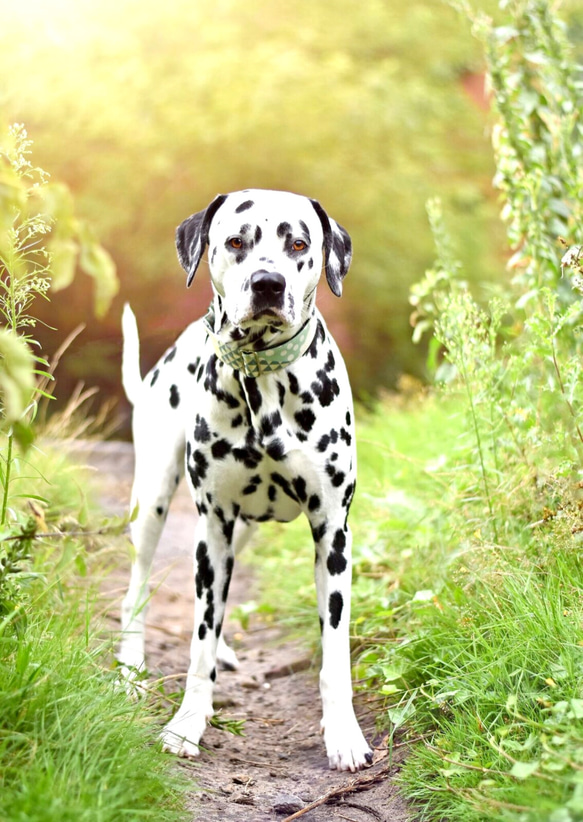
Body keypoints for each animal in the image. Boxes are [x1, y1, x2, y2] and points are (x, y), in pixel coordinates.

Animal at [118, 190, 374, 776]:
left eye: (298, 243)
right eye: (236, 241)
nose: (267, 283)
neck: (265, 382)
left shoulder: (333, 535)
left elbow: (334, 653)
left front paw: (343, 735)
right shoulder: (211, 533)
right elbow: (198, 646)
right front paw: (187, 724)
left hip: (245, 530)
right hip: (152, 505)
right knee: (136, 589)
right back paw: (130, 667)